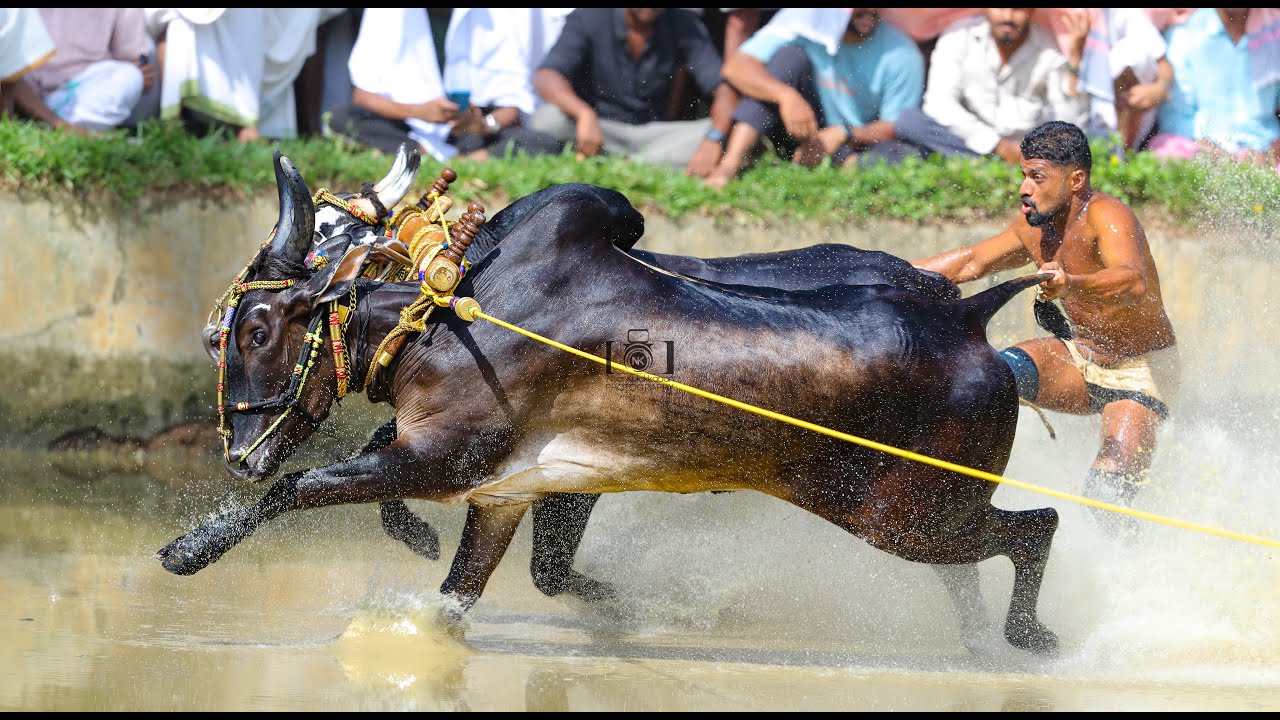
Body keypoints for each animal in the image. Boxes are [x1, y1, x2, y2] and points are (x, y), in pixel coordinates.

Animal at [168, 151, 1059, 655]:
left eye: (255, 328)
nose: (238, 455)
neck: (444, 315)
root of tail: (970, 319)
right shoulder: (510, 490)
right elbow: (474, 591)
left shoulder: (445, 463)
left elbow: (301, 486)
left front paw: (187, 550)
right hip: (918, 513)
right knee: (982, 560)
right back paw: (983, 641)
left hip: (900, 513)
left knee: (1036, 526)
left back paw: (1029, 635)